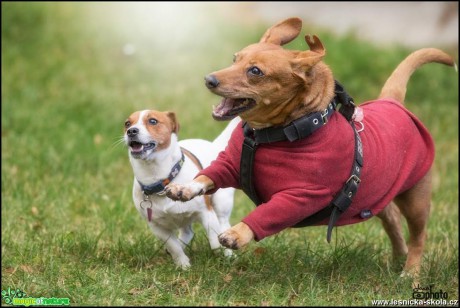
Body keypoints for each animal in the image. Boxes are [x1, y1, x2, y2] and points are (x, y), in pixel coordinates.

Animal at [123, 109, 237, 268]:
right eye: (127, 123)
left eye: (153, 121)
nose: (131, 131)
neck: (160, 182)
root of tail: (213, 145)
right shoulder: (157, 227)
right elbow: (173, 246)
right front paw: (183, 265)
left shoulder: (206, 213)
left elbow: (215, 238)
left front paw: (223, 254)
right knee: (187, 233)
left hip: (221, 202)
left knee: (223, 224)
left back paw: (229, 252)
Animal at [164, 16, 454, 280]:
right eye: (235, 58)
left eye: (255, 71)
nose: (209, 79)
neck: (270, 137)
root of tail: (392, 101)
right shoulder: (230, 165)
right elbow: (208, 175)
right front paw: (185, 188)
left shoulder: (300, 197)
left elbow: (266, 214)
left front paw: (238, 233)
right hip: (377, 196)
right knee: (393, 221)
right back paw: (398, 258)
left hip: (416, 200)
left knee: (418, 235)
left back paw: (410, 272)